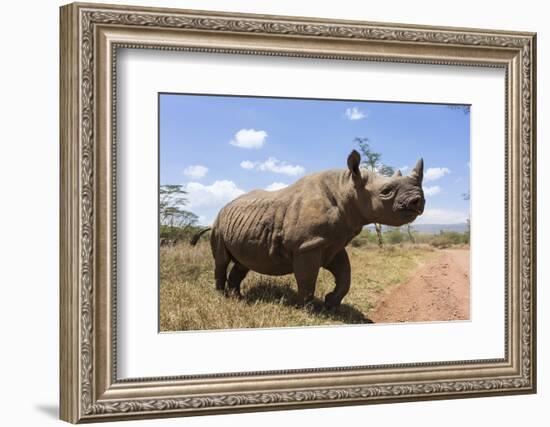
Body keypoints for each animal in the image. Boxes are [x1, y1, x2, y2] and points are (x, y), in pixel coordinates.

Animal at [192, 152, 430, 310]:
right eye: (386, 191)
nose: (418, 201)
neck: (348, 189)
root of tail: (223, 209)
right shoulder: (307, 244)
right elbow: (307, 279)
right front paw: (307, 309)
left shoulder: (332, 242)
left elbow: (345, 276)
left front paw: (330, 302)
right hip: (219, 224)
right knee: (222, 260)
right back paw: (222, 296)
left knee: (243, 263)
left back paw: (238, 298)